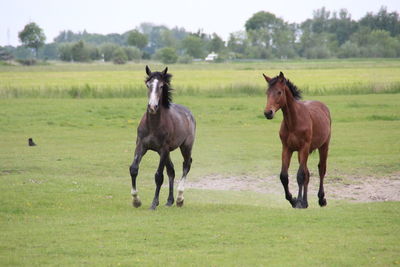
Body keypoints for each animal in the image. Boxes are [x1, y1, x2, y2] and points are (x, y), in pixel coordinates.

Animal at [129, 66, 196, 210]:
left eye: (161, 86)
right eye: (148, 85)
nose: (152, 107)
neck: (153, 125)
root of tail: (189, 113)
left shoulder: (164, 149)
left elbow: (158, 176)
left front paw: (154, 203)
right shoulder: (141, 146)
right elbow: (134, 169)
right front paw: (136, 200)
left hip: (185, 147)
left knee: (186, 165)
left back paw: (179, 199)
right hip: (165, 153)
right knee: (171, 171)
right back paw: (170, 201)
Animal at [262, 71, 332, 209]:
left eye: (279, 92)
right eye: (267, 92)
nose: (268, 113)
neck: (294, 122)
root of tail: (323, 107)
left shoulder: (303, 147)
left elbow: (300, 175)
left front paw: (298, 201)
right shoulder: (287, 148)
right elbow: (284, 176)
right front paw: (293, 200)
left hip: (323, 146)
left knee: (321, 169)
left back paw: (321, 199)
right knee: (307, 173)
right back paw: (305, 201)